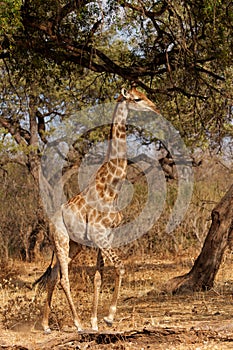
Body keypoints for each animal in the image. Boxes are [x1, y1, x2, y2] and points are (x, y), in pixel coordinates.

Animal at [34, 86, 159, 332]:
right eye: (137, 98)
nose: (155, 107)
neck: (111, 189)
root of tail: (50, 222)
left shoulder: (106, 236)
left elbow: (98, 277)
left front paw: (95, 322)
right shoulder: (99, 235)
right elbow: (119, 267)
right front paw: (108, 317)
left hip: (74, 245)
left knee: (53, 275)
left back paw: (45, 325)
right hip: (61, 240)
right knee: (63, 278)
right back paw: (77, 323)